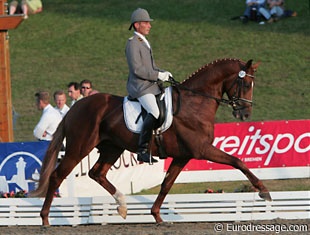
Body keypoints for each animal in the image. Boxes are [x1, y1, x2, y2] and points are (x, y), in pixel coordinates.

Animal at [29, 57, 272, 225]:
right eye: (246, 84)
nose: (245, 114)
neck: (195, 103)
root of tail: (77, 106)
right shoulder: (202, 149)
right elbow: (237, 161)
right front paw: (263, 190)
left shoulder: (183, 156)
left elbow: (166, 184)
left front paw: (157, 216)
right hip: (79, 148)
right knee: (57, 176)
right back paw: (45, 219)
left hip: (112, 148)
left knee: (97, 173)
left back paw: (122, 205)